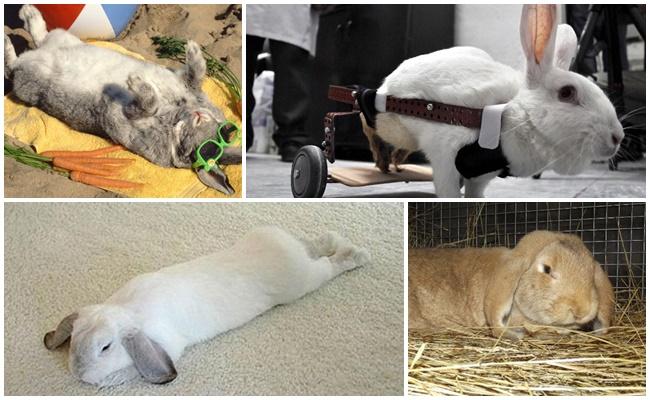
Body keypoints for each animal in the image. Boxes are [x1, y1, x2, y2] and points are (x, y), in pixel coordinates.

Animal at [4, 5, 240, 194]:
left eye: (204, 149)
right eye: (219, 132)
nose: (199, 115)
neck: (175, 117)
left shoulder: (129, 116)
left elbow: (149, 103)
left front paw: (134, 81)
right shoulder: (185, 85)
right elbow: (196, 75)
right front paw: (192, 48)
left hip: (28, 79)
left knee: (12, 65)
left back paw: (11, 34)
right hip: (63, 40)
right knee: (39, 37)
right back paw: (28, 13)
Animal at [43, 226, 371, 387]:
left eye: (106, 347)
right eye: (74, 338)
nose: (78, 373)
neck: (128, 311)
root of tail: (290, 251)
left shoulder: (168, 347)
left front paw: (107, 380)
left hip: (303, 281)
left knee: (330, 266)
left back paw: (357, 255)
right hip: (289, 246)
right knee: (314, 244)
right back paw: (333, 239)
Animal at [363, 4, 624, 197]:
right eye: (567, 93)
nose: (618, 137)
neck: (509, 114)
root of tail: (389, 80)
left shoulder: (480, 177)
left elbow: (474, 196)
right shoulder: (445, 156)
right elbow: (449, 192)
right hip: (393, 123)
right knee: (370, 124)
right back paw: (382, 159)